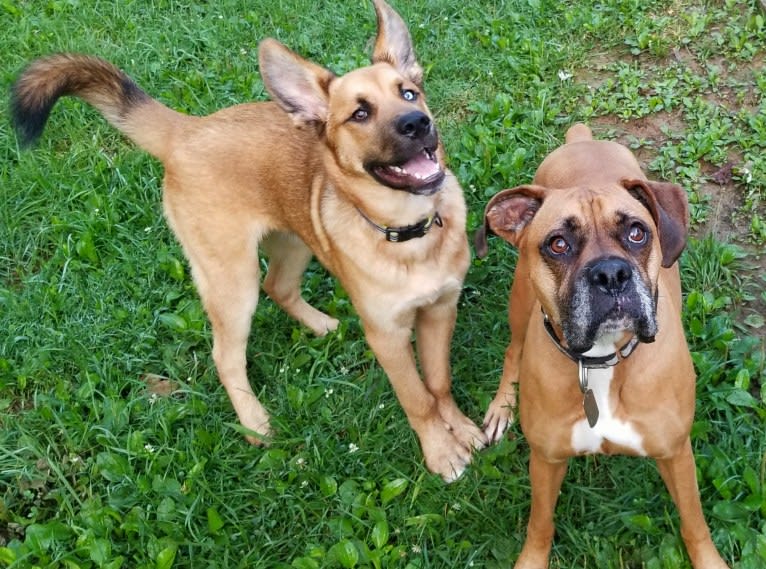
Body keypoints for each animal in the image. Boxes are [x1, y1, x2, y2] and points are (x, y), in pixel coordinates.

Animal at [476, 124, 728, 568]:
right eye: (558, 243)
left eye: (637, 233)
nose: (611, 273)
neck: (601, 360)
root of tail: (582, 139)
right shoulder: (546, 460)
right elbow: (539, 524)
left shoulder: (676, 453)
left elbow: (694, 521)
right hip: (520, 301)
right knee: (512, 350)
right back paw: (502, 407)